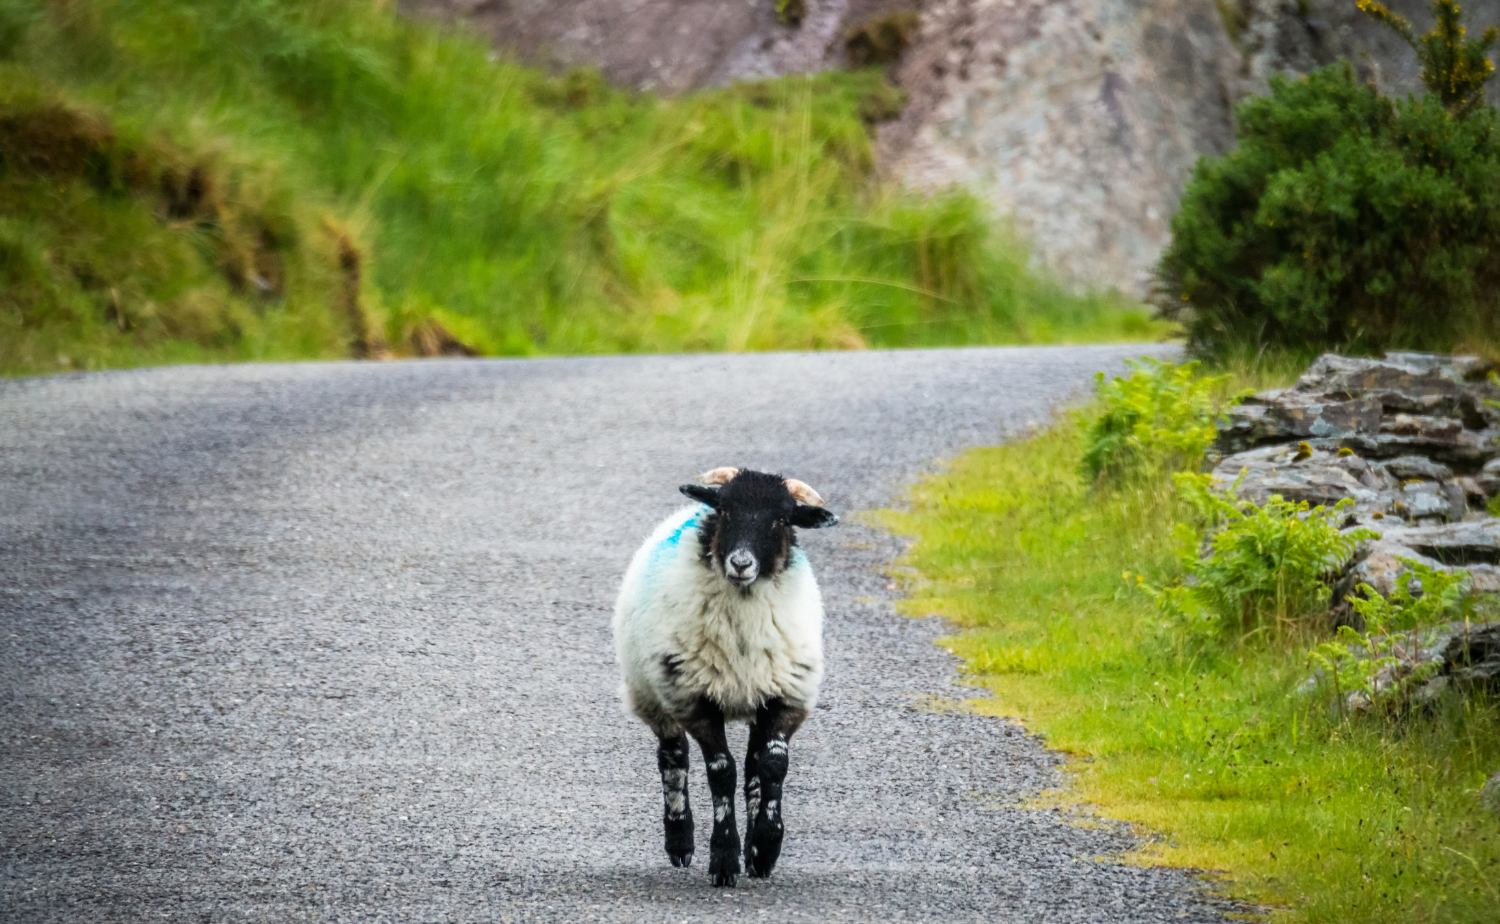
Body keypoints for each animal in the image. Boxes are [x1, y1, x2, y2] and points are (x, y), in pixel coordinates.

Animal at [613, 466, 838, 887]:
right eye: (726, 510)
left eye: (782, 519)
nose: (741, 563)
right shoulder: (696, 700)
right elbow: (722, 773)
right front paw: (724, 858)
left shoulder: (786, 697)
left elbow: (771, 766)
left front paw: (764, 847)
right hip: (654, 691)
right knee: (673, 758)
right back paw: (680, 841)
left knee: (752, 766)